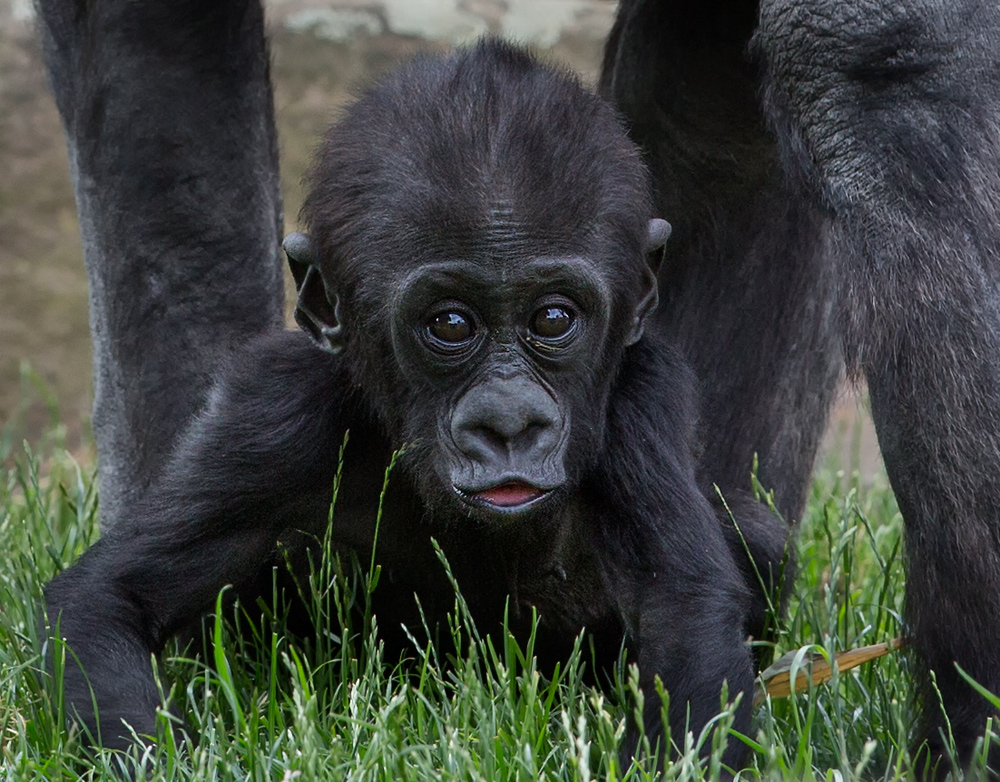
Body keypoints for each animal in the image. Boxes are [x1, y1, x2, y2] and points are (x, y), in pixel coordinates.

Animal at [45, 38, 788, 772]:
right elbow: (108, 597)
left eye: (553, 318)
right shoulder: (276, 414)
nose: (508, 421)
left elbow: (682, 611)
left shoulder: (642, 400)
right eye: (450, 324)